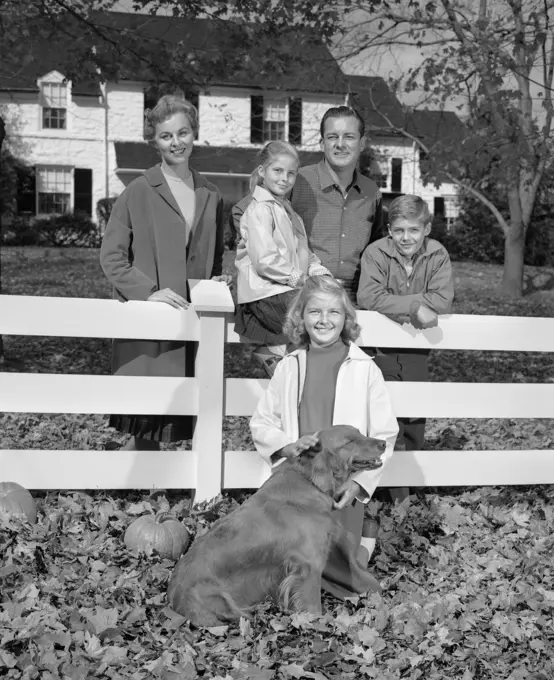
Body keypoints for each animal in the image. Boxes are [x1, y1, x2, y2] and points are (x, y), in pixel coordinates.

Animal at [167, 424, 384, 628]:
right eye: (350, 442)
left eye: (360, 433)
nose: (384, 444)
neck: (310, 482)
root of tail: (174, 599)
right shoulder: (310, 563)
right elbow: (313, 605)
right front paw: (318, 623)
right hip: (218, 597)